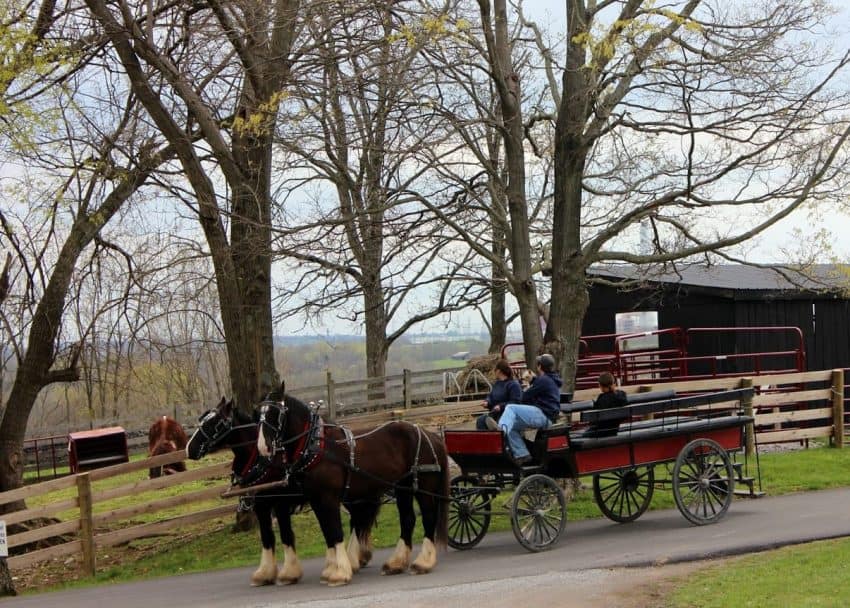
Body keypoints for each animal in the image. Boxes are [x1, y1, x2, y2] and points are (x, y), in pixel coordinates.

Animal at [253, 382, 448, 588]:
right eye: (258, 414)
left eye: (277, 413)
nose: (263, 447)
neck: (316, 446)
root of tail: (430, 435)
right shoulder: (316, 500)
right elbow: (327, 532)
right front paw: (331, 569)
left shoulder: (328, 498)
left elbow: (335, 531)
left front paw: (339, 573)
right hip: (403, 486)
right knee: (407, 519)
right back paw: (396, 563)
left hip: (423, 486)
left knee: (428, 516)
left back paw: (423, 562)